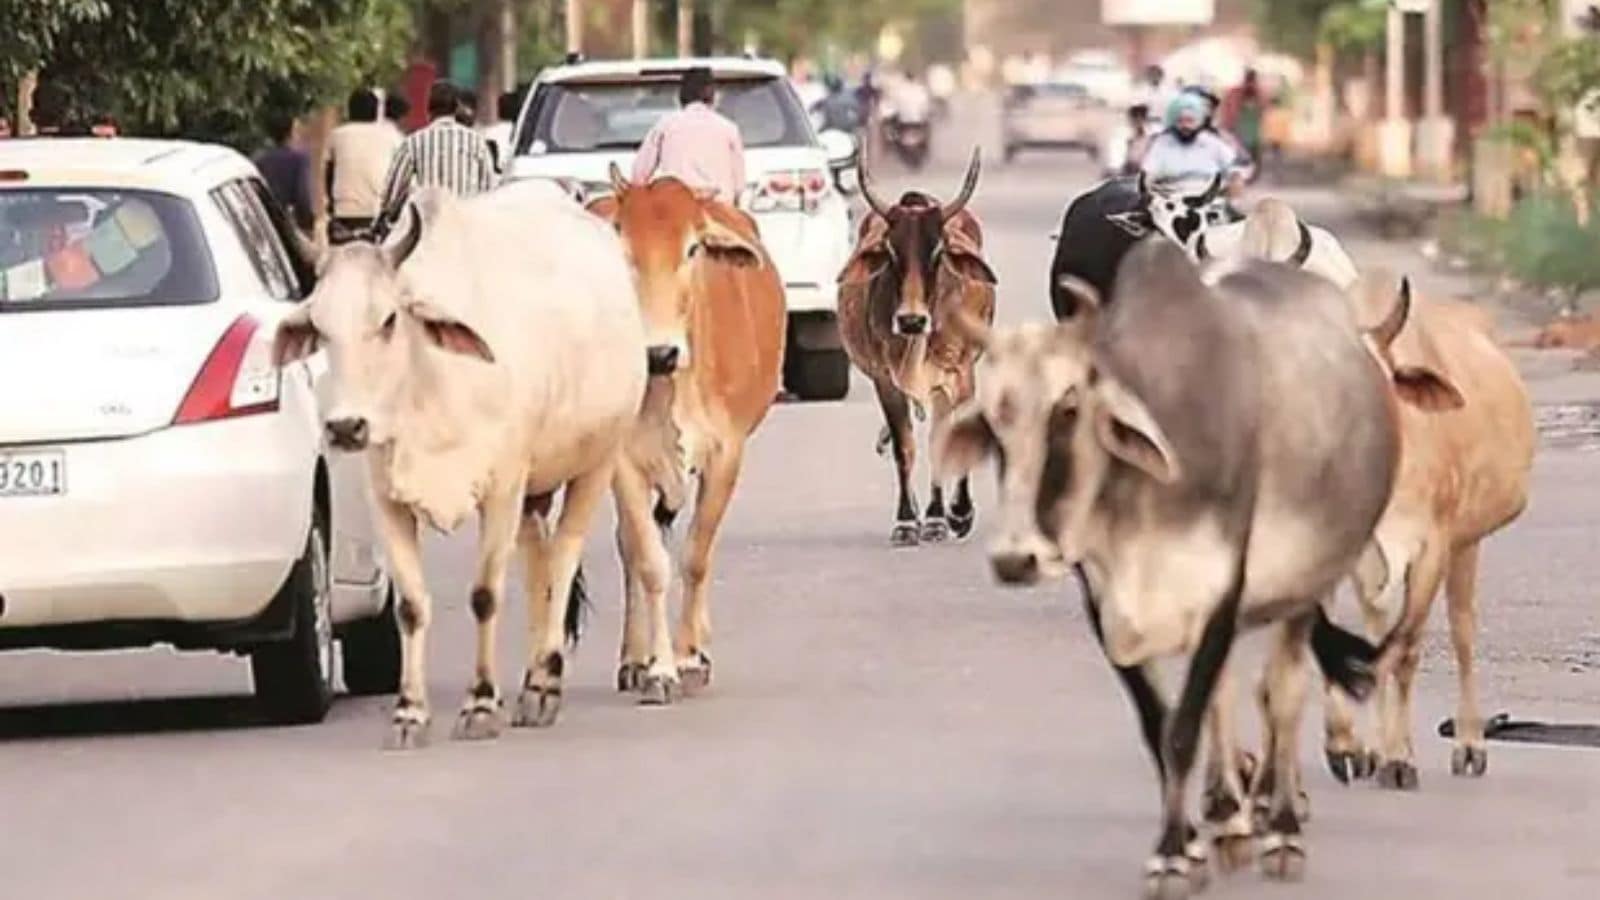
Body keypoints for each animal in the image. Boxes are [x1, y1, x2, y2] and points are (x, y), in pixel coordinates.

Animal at [272, 181, 648, 747]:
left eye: (388, 319)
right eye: (319, 326)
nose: (345, 427)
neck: (431, 384)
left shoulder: (503, 488)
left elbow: (485, 595)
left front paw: (480, 705)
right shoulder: (386, 498)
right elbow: (410, 606)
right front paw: (409, 713)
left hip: (598, 459)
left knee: (562, 560)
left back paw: (544, 684)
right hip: (536, 493)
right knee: (539, 566)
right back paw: (532, 681)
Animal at [587, 167, 786, 701]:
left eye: (693, 248)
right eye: (622, 243)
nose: (659, 353)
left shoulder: (727, 455)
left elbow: (697, 556)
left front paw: (690, 657)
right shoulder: (624, 463)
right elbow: (650, 561)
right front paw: (658, 668)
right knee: (629, 547)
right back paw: (633, 659)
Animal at [837, 148, 998, 546]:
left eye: (938, 253)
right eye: (890, 253)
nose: (911, 320)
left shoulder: (958, 375)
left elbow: (944, 441)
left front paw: (951, 515)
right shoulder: (885, 380)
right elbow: (904, 447)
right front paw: (908, 520)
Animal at [936, 242, 1402, 896]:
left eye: (1068, 408)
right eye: (994, 425)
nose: (1015, 559)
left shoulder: (1223, 590)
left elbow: (1184, 729)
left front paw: (1175, 856)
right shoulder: (1105, 602)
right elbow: (1163, 723)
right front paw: (1190, 844)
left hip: (1306, 587)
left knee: (1282, 694)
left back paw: (1280, 827)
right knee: (1226, 698)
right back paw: (1230, 819)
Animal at [1322, 273, 1535, 789]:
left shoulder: (1432, 548)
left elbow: (1407, 650)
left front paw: (1400, 759)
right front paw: (1348, 747)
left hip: (1466, 543)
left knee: (1461, 632)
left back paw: (1469, 744)